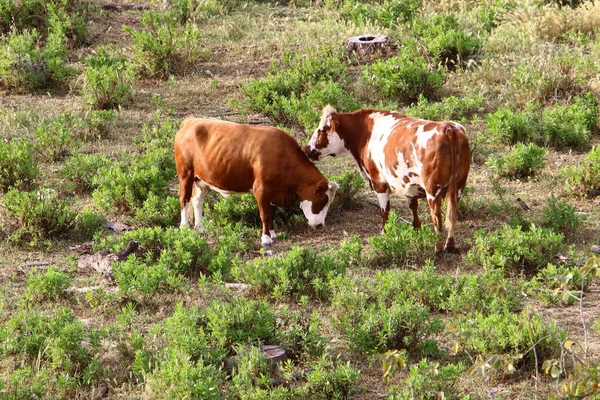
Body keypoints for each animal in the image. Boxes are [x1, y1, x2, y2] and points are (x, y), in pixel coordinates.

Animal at [176, 115, 340, 247]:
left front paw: (273, 234)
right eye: (322, 199)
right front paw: (266, 239)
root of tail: (191, 120)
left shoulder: (274, 192)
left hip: (201, 179)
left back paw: (199, 227)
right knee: (184, 198)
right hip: (185, 174)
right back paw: (184, 226)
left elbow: (272, 213)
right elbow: (265, 215)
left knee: (197, 200)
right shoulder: (261, 190)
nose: (320, 225)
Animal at [304, 104, 468, 252]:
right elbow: (413, 207)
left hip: (433, 190)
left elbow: (385, 211)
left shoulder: (379, 182)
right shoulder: (408, 184)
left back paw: (437, 247)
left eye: (321, 130)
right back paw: (450, 245)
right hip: (458, 187)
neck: (365, 131)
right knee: (452, 216)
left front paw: (384, 233)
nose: (306, 149)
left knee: (437, 219)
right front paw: (416, 230)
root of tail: (448, 128)